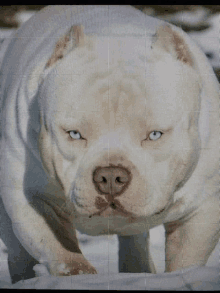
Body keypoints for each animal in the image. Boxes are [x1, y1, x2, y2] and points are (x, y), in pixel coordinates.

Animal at [0, 5, 219, 282]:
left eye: (155, 135)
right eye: (74, 134)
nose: (111, 176)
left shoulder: (203, 208)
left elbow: (185, 261)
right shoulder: (27, 196)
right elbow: (61, 251)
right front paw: (79, 278)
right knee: (19, 254)